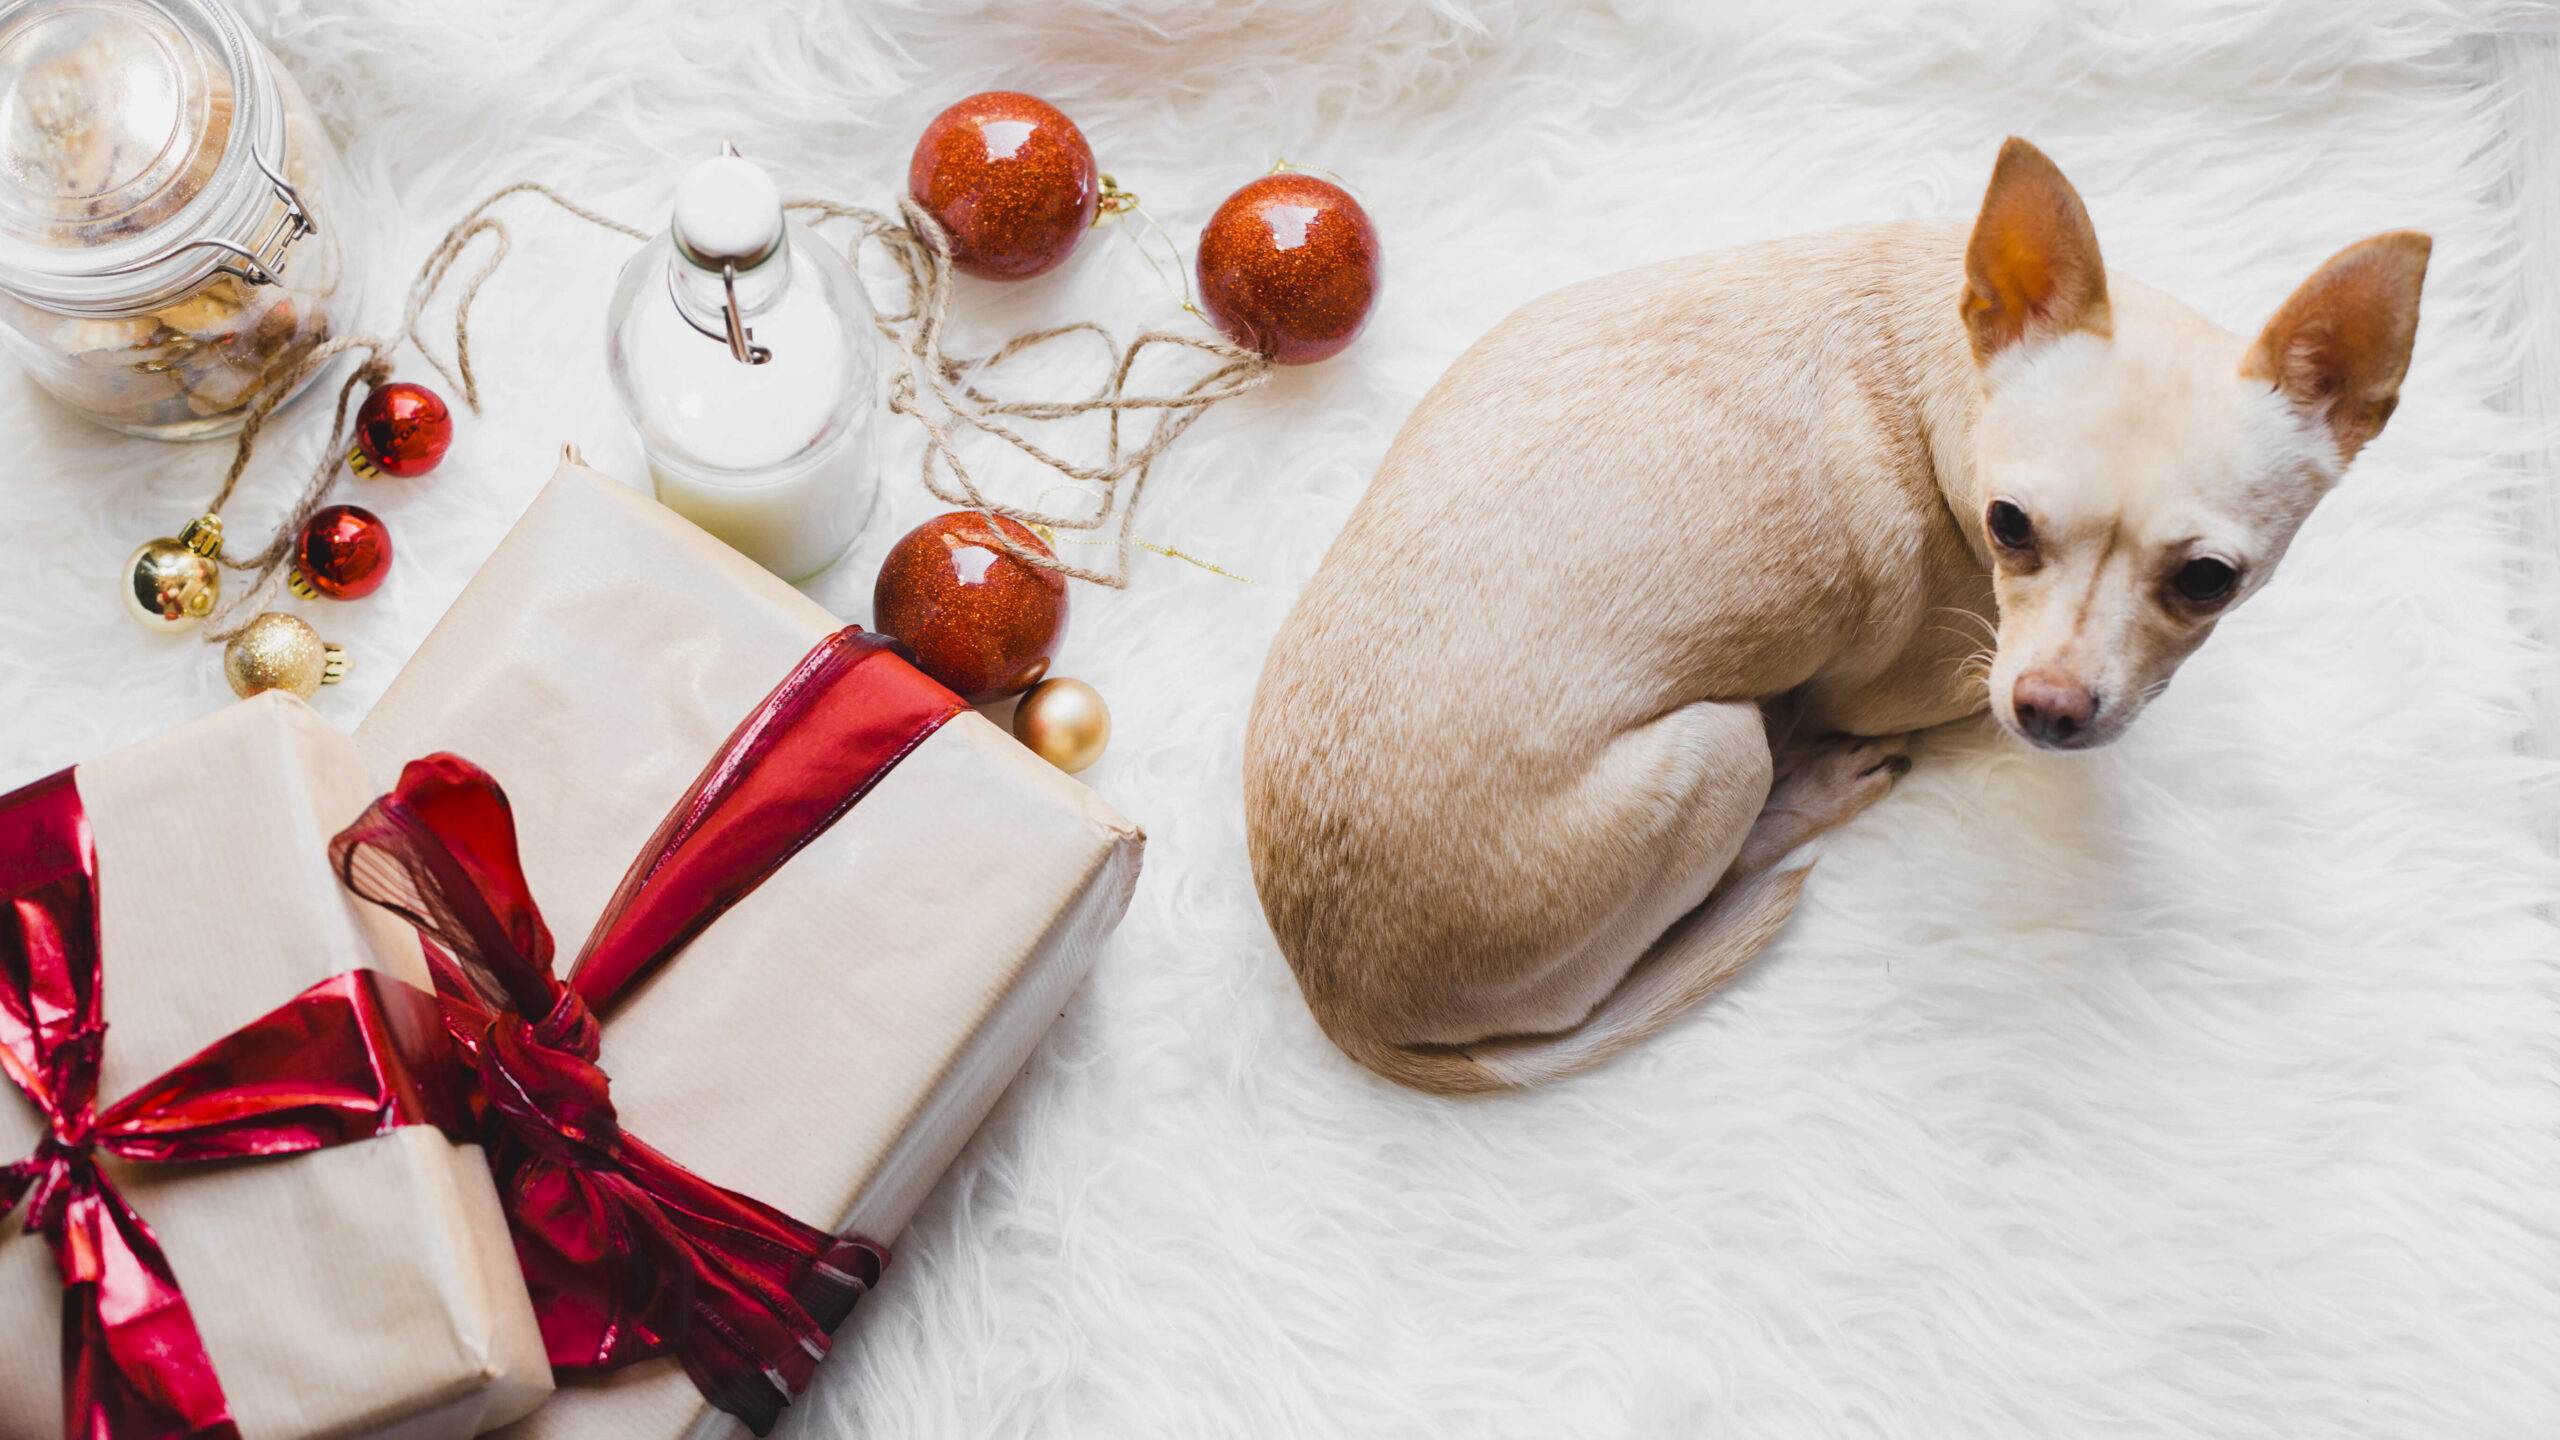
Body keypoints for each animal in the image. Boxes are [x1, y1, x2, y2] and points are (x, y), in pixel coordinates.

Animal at [1249, 140, 2426, 1091]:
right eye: (2007, 525)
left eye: (2208, 580)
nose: (2046, 710)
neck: (1950, 372)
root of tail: (1335, 996)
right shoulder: (1944, 681)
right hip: (1719, 746)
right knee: (1728, 853)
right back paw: (1810, 788)